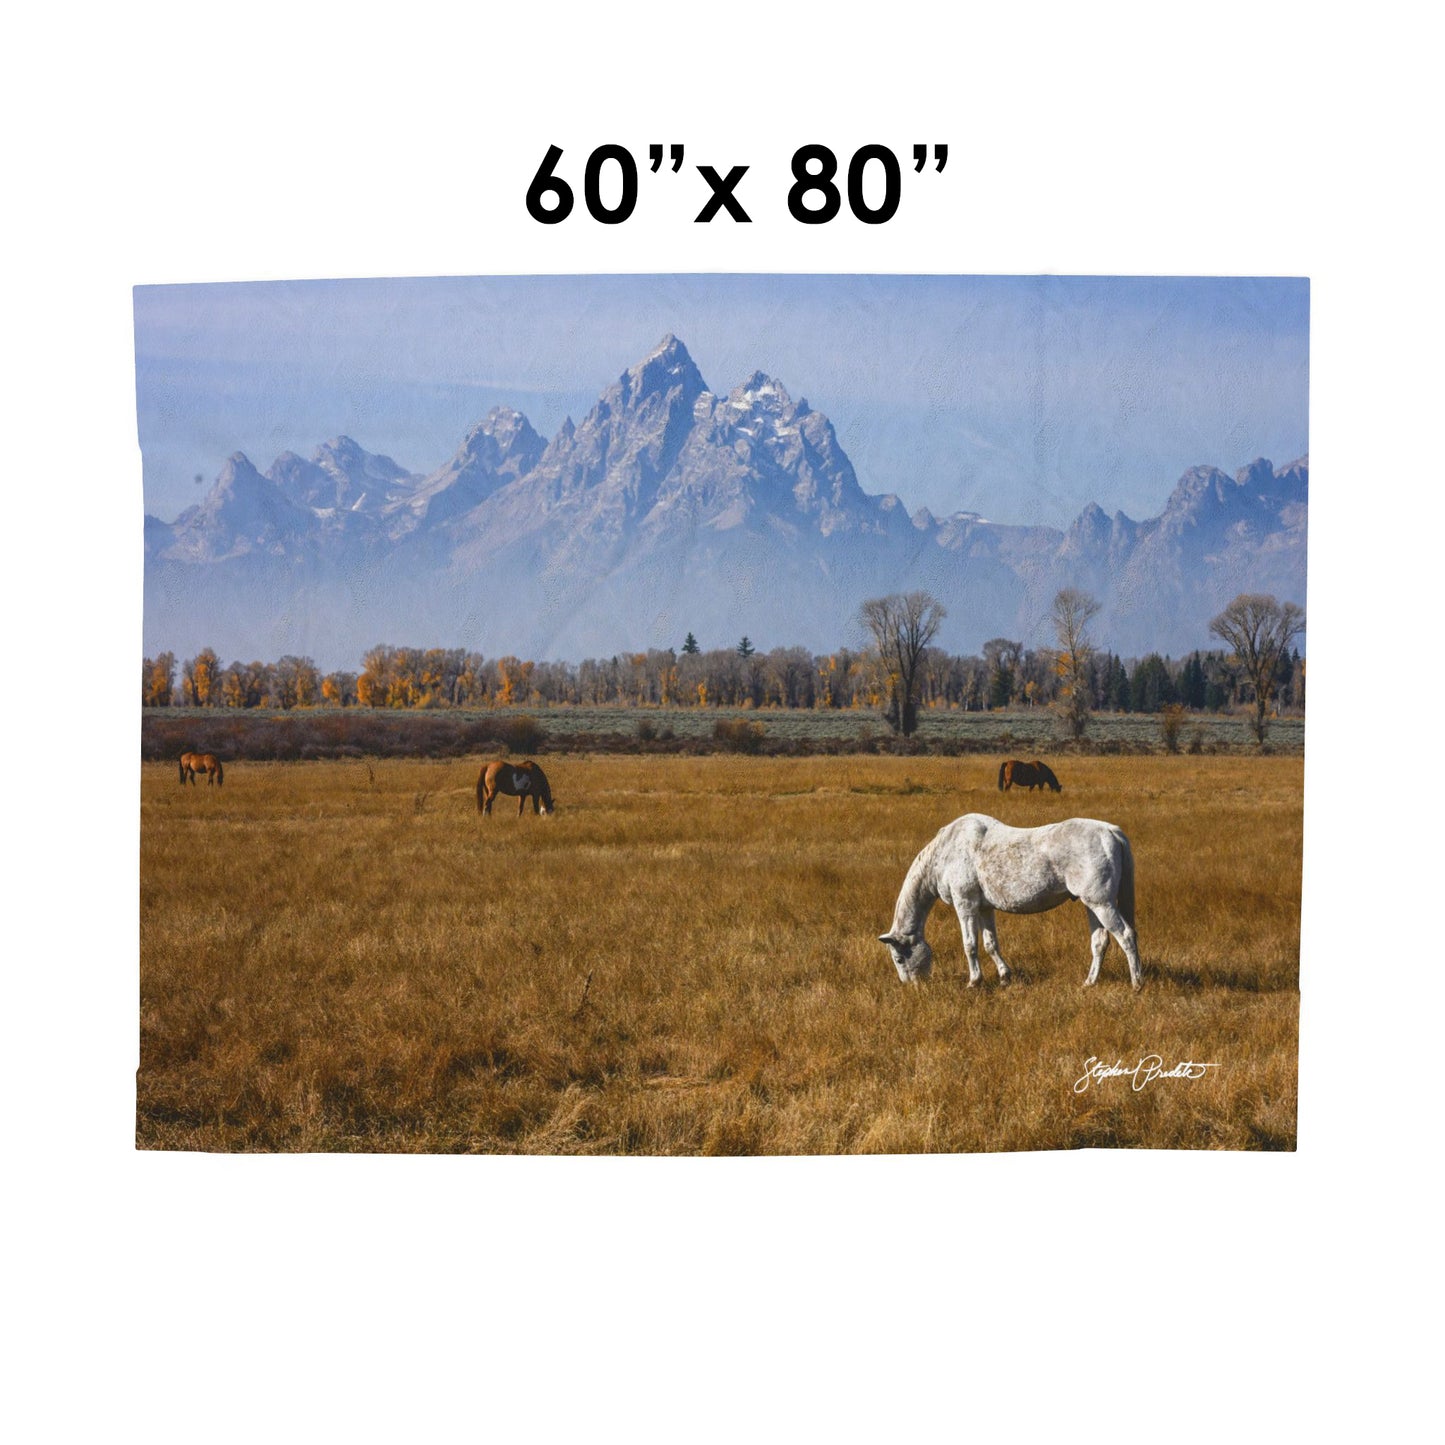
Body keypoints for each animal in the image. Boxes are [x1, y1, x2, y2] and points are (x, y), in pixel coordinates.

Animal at [878, 813, 1141, 990]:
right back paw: (1089, 982)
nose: (912, 986)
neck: (945, 852)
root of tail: (1111, 832)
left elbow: (970, 944)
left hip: (1101, 903)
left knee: (1126, 935)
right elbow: (990, 944)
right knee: (1100, 942)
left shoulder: (965, 904)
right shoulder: (985, 908)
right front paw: (1005, 977)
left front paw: (974, 982)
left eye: (899, 958)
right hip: (1091, 905)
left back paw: (1137, 983)